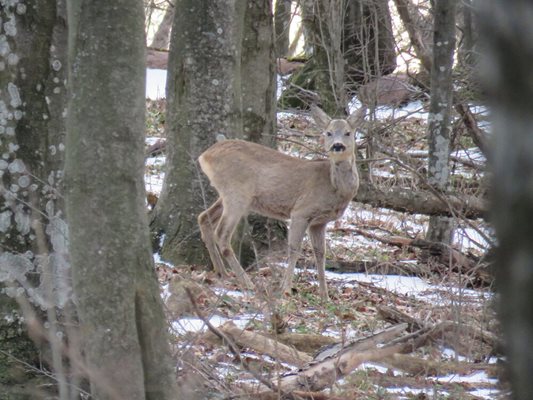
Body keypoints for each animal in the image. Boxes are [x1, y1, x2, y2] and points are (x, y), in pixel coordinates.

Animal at [197, 104, 364, 298]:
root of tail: (205, 155)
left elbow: (320, 254)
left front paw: (325, 295)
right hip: (237, 193)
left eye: (348, 133)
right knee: (222, 234)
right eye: (328, 133)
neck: (333, 186)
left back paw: (222, 273)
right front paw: (286, 288)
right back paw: (246, 282)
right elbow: (294, 249)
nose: (337, 146)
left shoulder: (319, 222)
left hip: (227, 194)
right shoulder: (301, 211)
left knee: (203, 218)